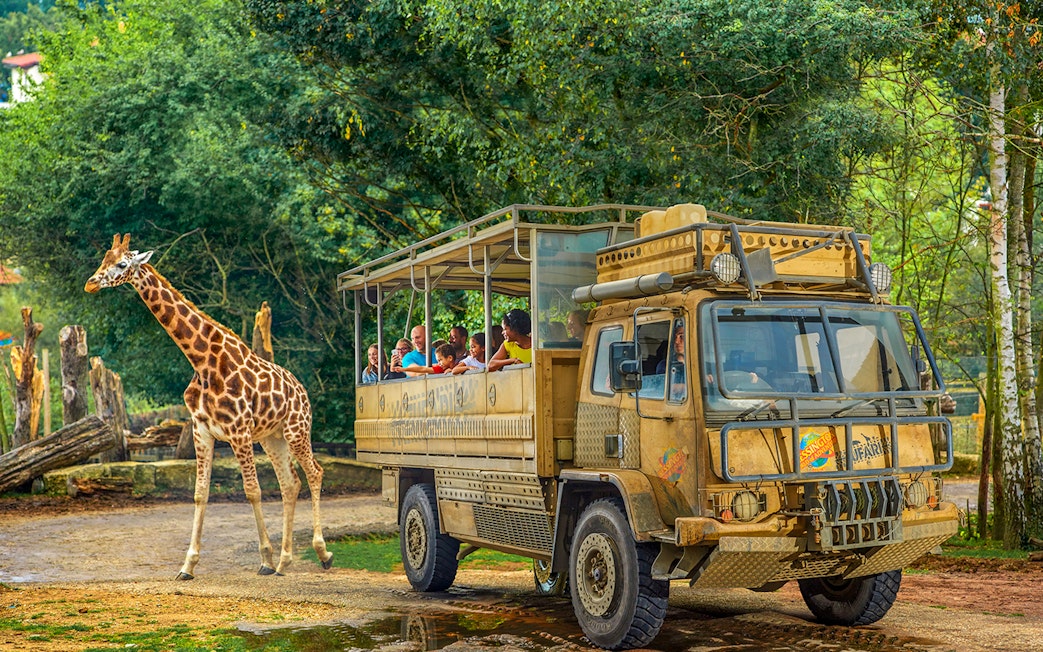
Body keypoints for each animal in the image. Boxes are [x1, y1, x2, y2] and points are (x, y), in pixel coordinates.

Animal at [85, 234, 333, 579]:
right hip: (272, 438)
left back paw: (321, 553)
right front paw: (187, 565)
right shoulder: (202, 429)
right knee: (290, 483)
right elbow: (200, 493)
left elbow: (252, 490)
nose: (91, 284)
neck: (202, 361)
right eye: (103, 260)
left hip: (297, 430)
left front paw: (264, 560)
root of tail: (302, 390)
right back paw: (286, 561)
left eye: (122, 264)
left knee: (315, 473)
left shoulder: (239, 431)